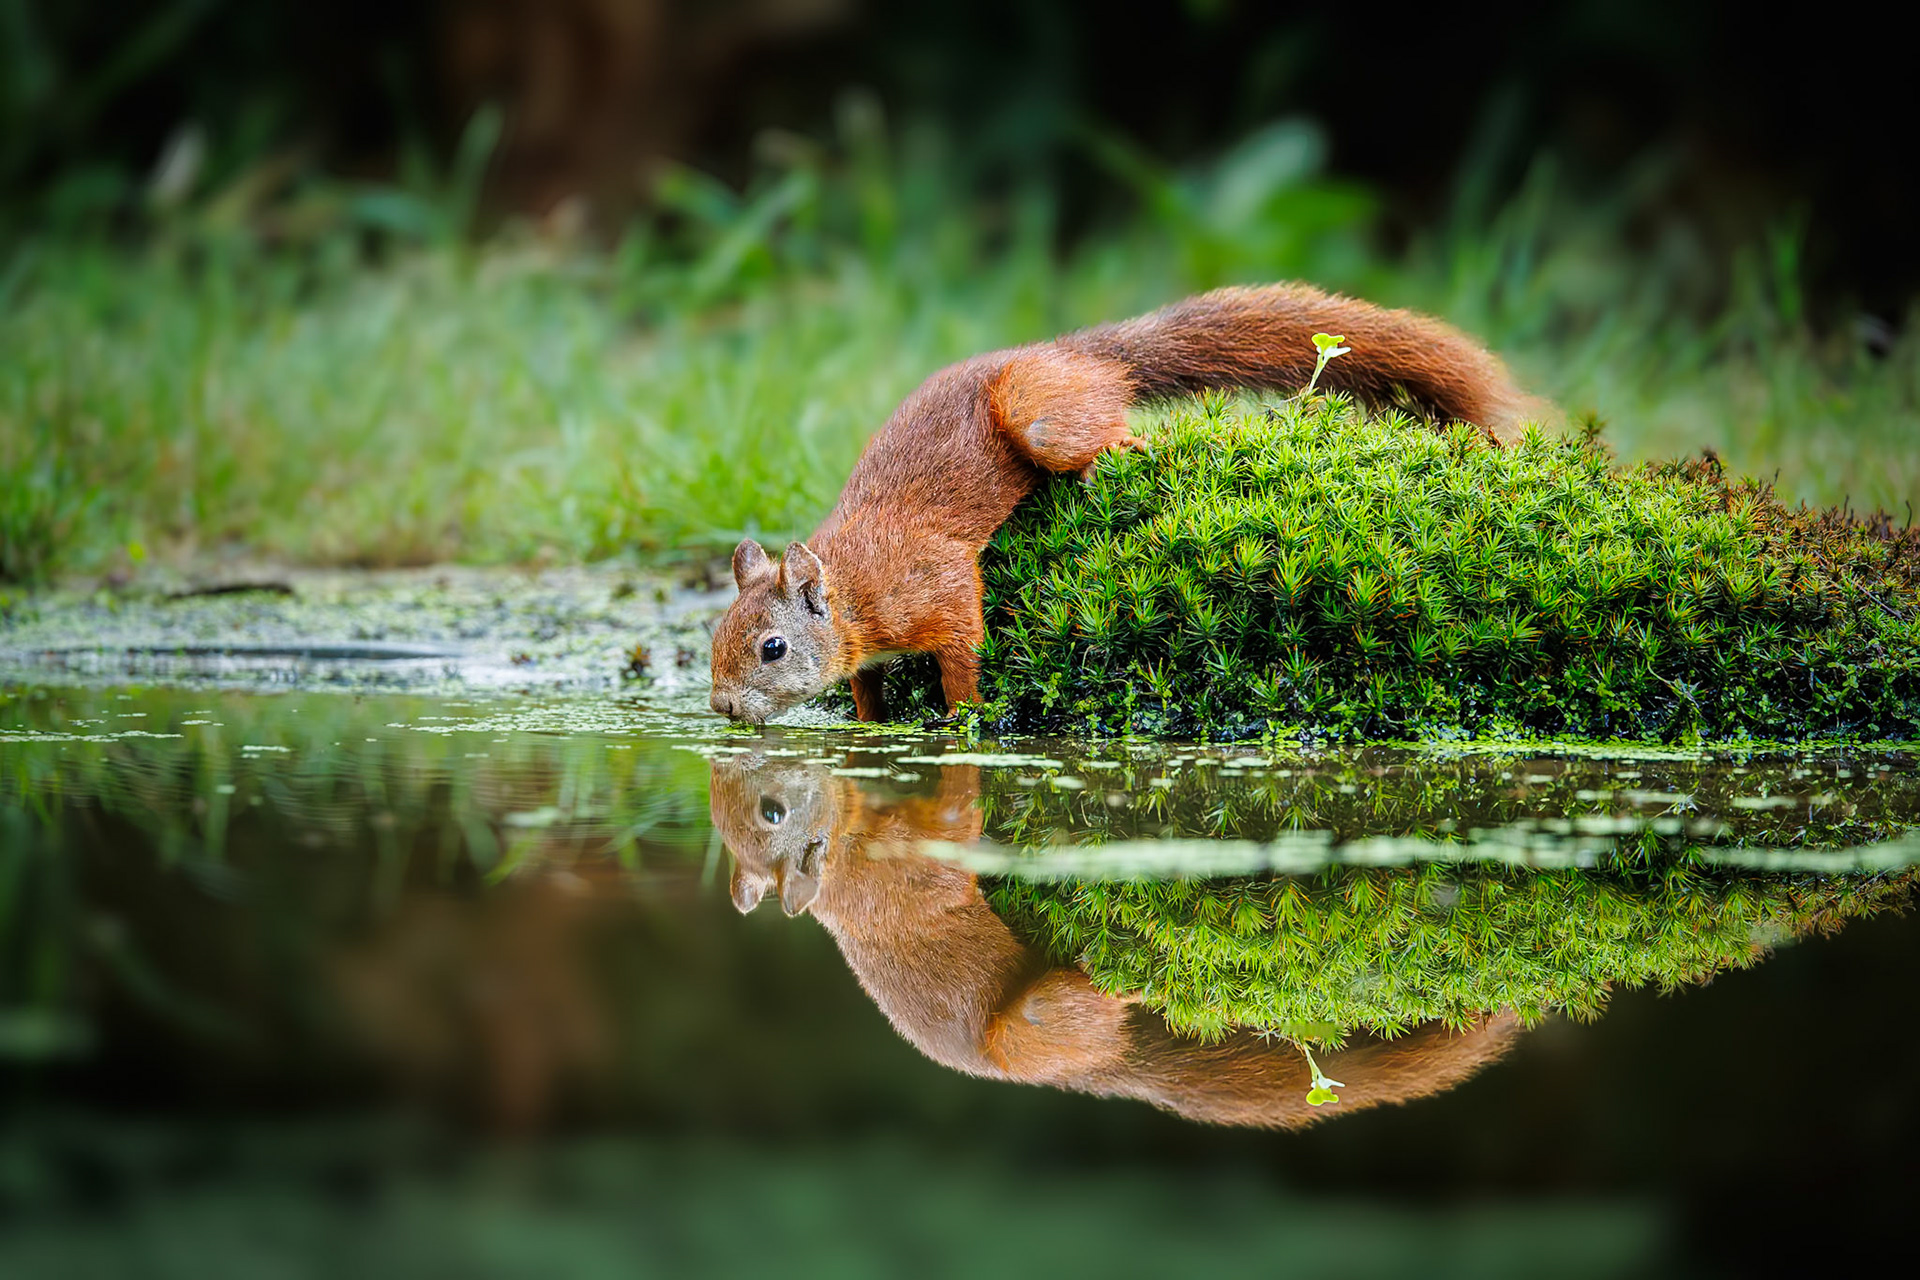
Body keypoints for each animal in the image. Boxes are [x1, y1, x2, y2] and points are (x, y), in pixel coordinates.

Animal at [709, 282, 1541, 723]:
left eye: (772, 647)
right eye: (717, 633)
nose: (720, 709)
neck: (852, 591)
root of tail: (1078, 354)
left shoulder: (932, 584)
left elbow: (963, 643)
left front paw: (960, 715)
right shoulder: (864, 651)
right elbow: (866, 686)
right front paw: (869, 726)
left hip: (1040, 417)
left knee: (1101, 433)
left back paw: (1125, 449)